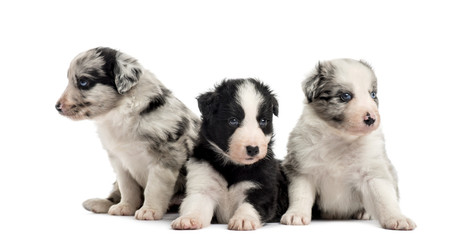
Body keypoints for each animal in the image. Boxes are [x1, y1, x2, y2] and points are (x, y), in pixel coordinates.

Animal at [55, 47, 200, 221]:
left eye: (83, 82)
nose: (57, 107)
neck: (120, 112)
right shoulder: (120, 162)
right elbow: (127, 188)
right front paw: (125, 207)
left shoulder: (166, 157)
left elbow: (154, 188)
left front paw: (149, 210)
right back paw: (99, 203)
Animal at [171, 79, 288, 231]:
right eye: (233, 120)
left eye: (263, 121)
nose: (253, 149)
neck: (232, 166)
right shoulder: (203, 184)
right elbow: (196, 204)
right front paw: (189, 219)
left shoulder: (262, 186)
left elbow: (251, 205)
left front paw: (243, 219)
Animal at [280, 58, 414, 231]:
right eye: (345, 96)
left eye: (373, 94)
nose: (371, 119)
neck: (341, 139)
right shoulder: (302, 169)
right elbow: (300, 195)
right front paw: (296, 214)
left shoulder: (373, 171)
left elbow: (384, 198)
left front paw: (398, 218)